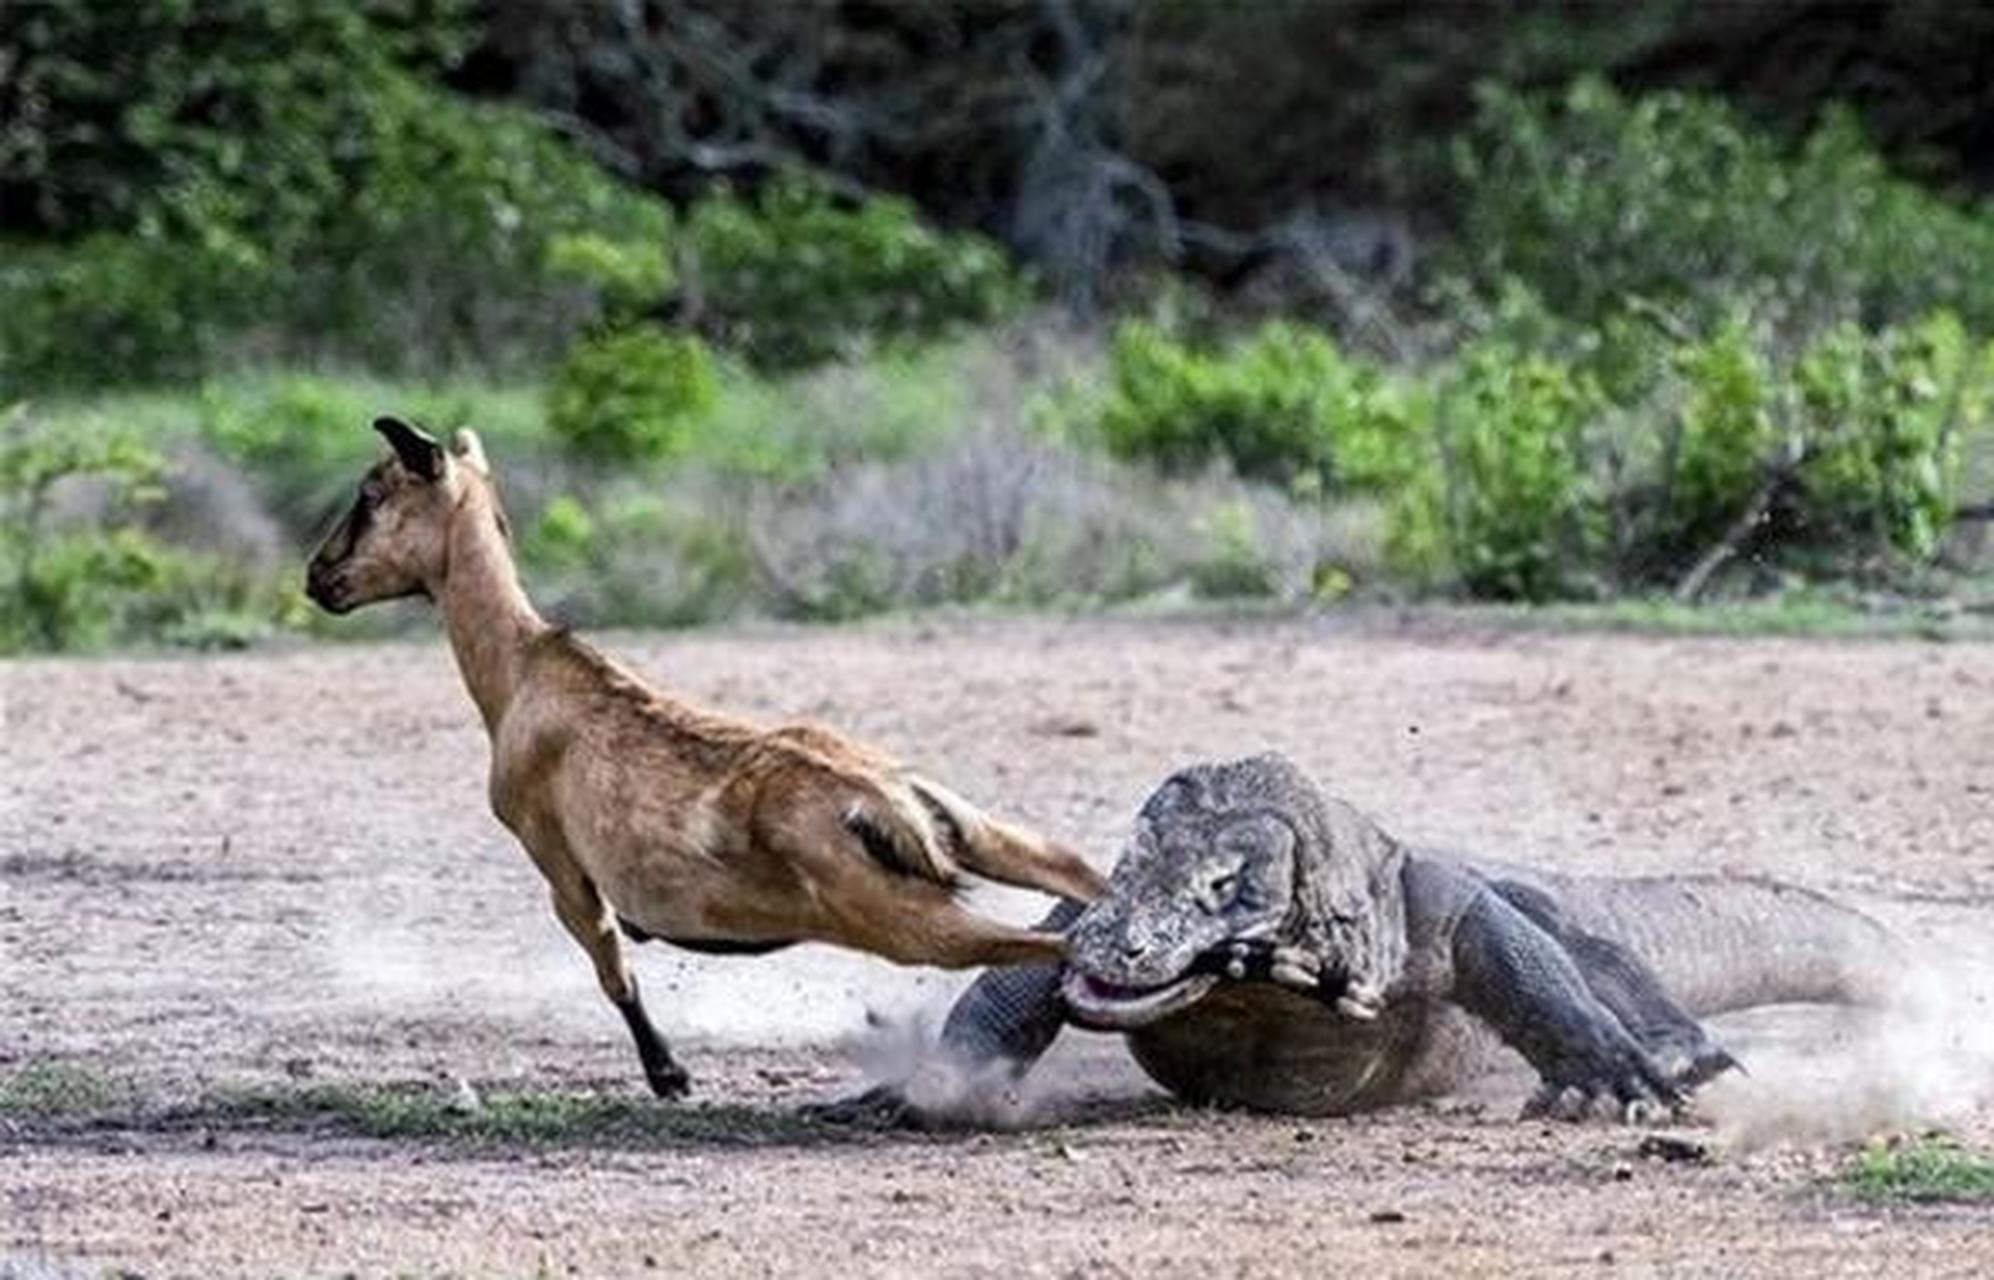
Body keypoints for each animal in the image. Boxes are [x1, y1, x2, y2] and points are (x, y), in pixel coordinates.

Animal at [311, 414, 1108, 1092]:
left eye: (372, 493)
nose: (318, 578)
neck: (523, 673)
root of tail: (887, 803)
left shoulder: (557, 859)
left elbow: (612, 964)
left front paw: (669, 1074)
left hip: (906, 923)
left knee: (1063, 947)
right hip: (975, 835)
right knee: (1078, 876)